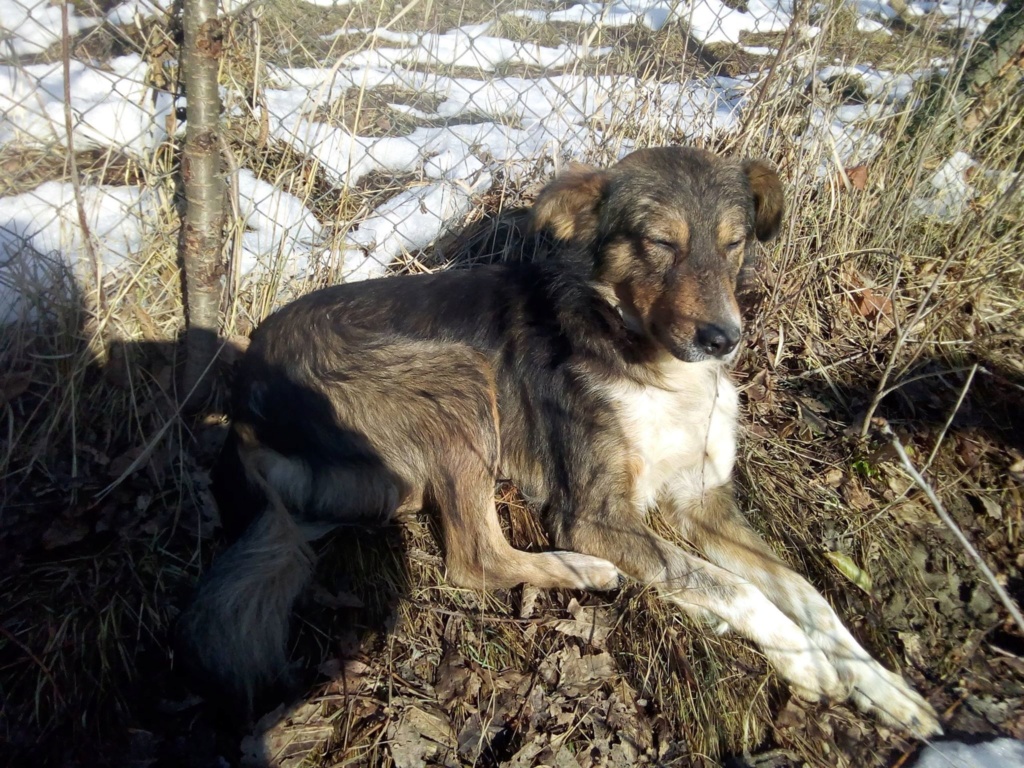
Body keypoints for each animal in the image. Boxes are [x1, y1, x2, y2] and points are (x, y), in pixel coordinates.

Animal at [178, 145, 942, 741]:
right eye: (659, 243)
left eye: (733, 243)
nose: (724, 338)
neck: (641, 356)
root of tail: (245, 394)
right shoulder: (595, 514)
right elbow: (734, 588)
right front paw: (806, 660)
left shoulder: (702, 503)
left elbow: (802, 591)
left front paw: (881, 688)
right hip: (457, 379)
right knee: (474, 560)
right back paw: (583, 570)